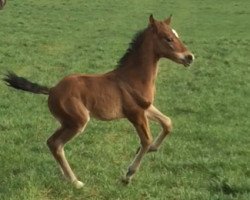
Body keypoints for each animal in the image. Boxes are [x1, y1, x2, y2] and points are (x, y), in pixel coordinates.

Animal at [4, 14, 195, 188]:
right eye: (168, 38)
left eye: (176, 34)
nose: (189, 57)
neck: (133, 77)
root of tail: (52, 89)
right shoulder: (135, 113)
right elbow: (146, 140)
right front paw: (127, 175)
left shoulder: (146, 108)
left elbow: (167, 123)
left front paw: (153, 149)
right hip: (77, 121)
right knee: (56, 144)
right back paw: (75, 182)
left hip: (66, 122)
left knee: (51, 143)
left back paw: (65, 177)